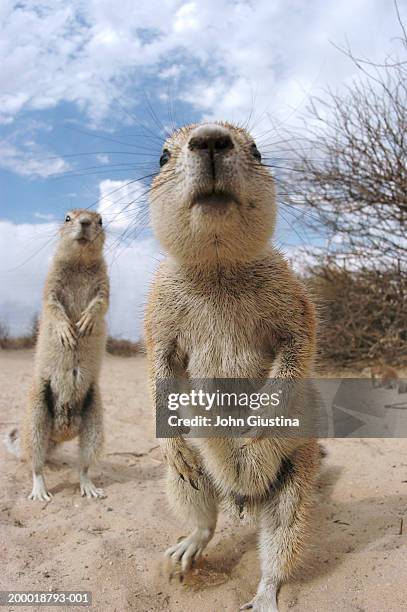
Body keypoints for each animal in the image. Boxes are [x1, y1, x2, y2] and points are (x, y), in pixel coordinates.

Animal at [5, 210, 110, 502]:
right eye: (67, 218)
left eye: (100, 220)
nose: (84, 223)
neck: (80, 263)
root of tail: (61, 433)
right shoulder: (50, 283)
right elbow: (52, 305)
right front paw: (67, 330)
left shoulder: (104, 284)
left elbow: (101, 302)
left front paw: (86, 322)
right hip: (36, 417)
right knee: (36, 464)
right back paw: (39, 490)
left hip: (94, 422)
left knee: (83, 465)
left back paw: (89, 487)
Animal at [145, 122, 320, 608]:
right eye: (162, 157)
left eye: (257, 150)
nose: (210, 138)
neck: (218, 264)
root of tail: (241, 498)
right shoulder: (158, 314)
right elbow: (158, 367)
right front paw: (170, 432)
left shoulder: (293, 300)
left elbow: (298, 349)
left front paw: (262, 419)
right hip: (182, 484)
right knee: (205, 519)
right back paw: (188, 544)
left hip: (294, 488)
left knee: (279, 549)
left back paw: (264, 595)